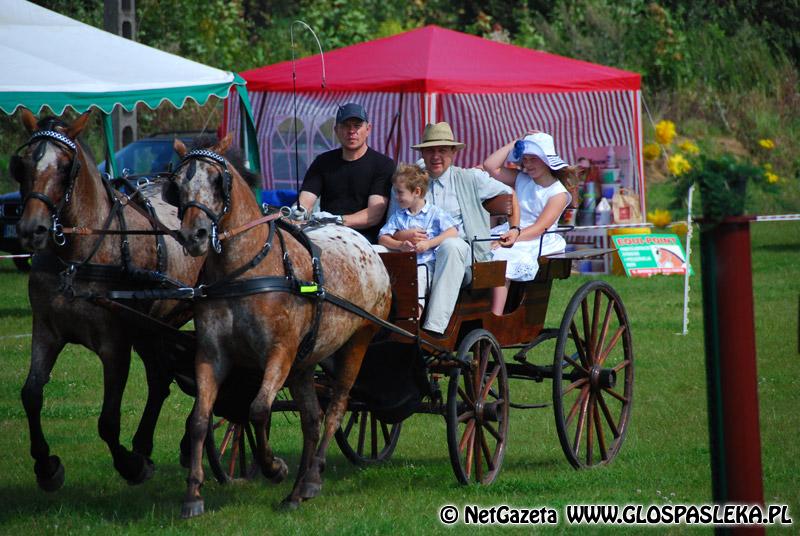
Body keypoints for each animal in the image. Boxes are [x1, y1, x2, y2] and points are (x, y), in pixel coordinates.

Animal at [10, 111, 205, 492]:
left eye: (65, 166)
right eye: (22, 164)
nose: (32, 228)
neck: (77, 255)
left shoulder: (114, 343)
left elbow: (108, 420)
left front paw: (129, 465)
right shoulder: (46, 331)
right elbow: (31, 394)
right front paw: (46, 466)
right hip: (151, 327)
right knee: (160, 379)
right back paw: (147, 444)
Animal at [170, 136, 392, 516]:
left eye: (217, 181)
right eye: (179, 183)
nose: (194, 235)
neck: (245, 270)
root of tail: (367, 246)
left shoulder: (280, 353)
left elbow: (258, 409)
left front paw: (274, 468)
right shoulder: (212, 354)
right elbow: (200, 418)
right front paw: (193, 495)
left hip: (358, 342)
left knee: (336, 410)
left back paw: (312, 478)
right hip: (305, 362)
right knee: (312, 420)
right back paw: (297, 492)